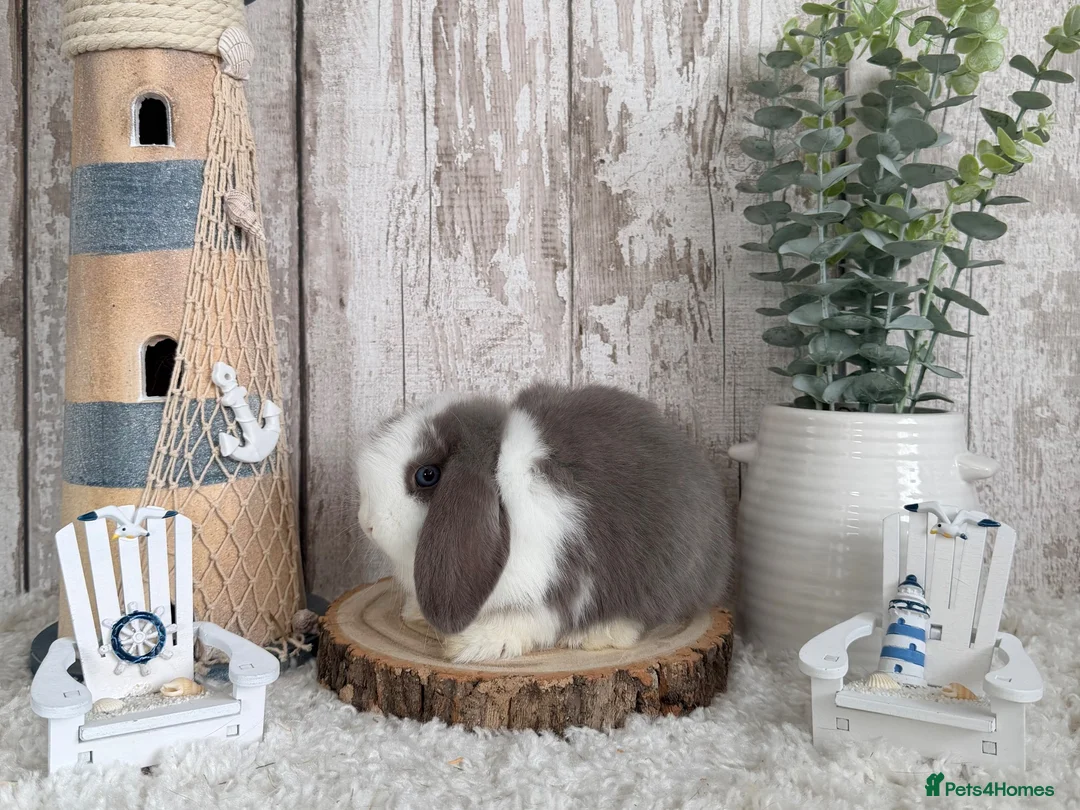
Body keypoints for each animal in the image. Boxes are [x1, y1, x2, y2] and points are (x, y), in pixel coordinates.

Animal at [355, 382, 736, 664]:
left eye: (427, 475)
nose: (367, 524)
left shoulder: (560, 577)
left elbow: (534, 620)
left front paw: (473, 644)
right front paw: (414, 612)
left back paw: (598, 633)